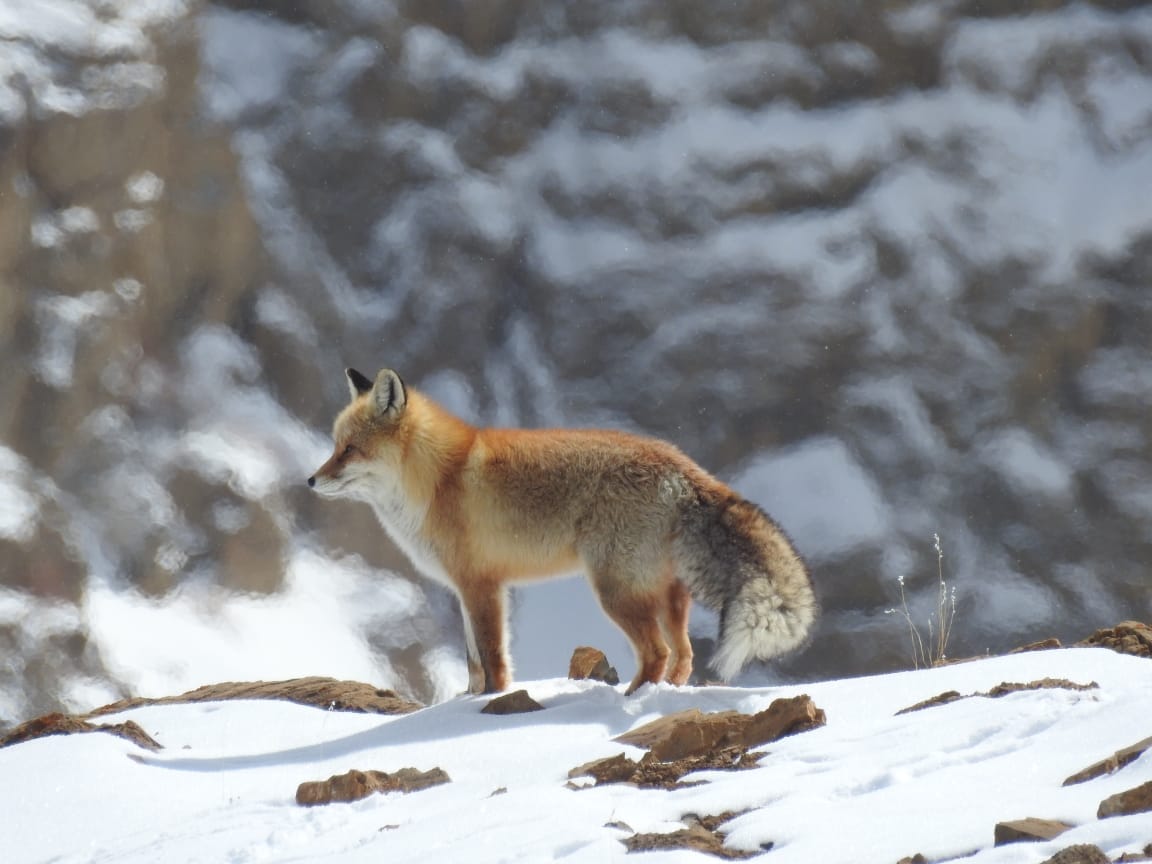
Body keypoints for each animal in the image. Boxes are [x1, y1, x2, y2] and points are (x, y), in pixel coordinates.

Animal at [308, 367, 817, 695]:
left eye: (350, 450)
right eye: (334, 446)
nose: (310, 481)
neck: (435, 481)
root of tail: (684, 466)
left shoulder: (482, 586)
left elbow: (492, 658)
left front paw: (490, 705)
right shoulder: (465, 590)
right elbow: (472, 662)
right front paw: (465, 703)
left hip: (615, 590)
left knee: (655, 653)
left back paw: (629, 699)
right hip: (665, 593)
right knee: (684, 654)